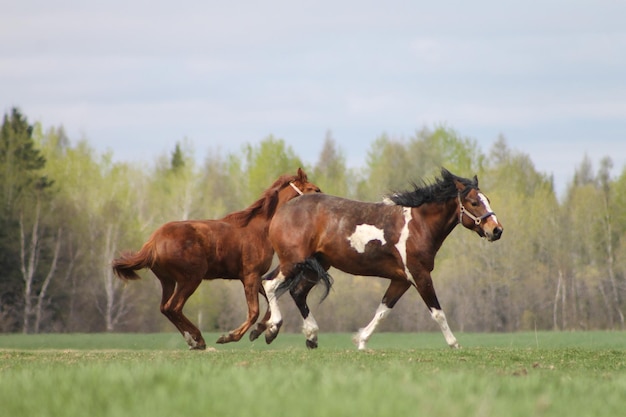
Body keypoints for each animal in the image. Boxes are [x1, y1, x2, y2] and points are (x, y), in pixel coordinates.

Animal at [109, 167, 320, 350]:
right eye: (314, 189)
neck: (259, 229)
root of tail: (153, 242)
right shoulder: (250, 276)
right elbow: (254, 311)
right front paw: (229, 336)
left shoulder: (253, 277)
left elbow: (269, 303)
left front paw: (265, 331)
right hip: (191, 278)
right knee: (173, 307)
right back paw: (197, 339)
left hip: (168, 281)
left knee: (165, 307)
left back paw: (193, 340)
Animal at [255, 168, 502, 348]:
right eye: (474, 202)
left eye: (488, 199)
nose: (496, 230)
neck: (418, 225)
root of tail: (282, 211)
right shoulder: (420, 275)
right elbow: (437, 313)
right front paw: (454, 344)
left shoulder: (401, 280)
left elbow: (383, 310)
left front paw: (361, 341)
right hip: (293, 262)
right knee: (269, 284)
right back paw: (274, 327)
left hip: (312, 266)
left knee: (296, 292)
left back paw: (307, 336)